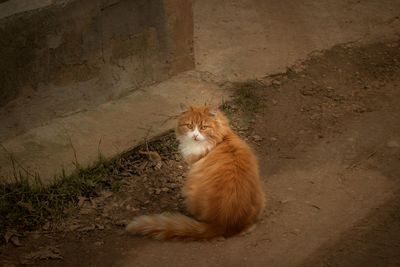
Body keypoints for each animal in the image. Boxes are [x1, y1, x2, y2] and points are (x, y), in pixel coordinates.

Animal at [126, 105, 266, 241]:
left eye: (204, 127)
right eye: (189, 126)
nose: (195, 136)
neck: (222, 139)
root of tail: (224, 224)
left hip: (189, 190)